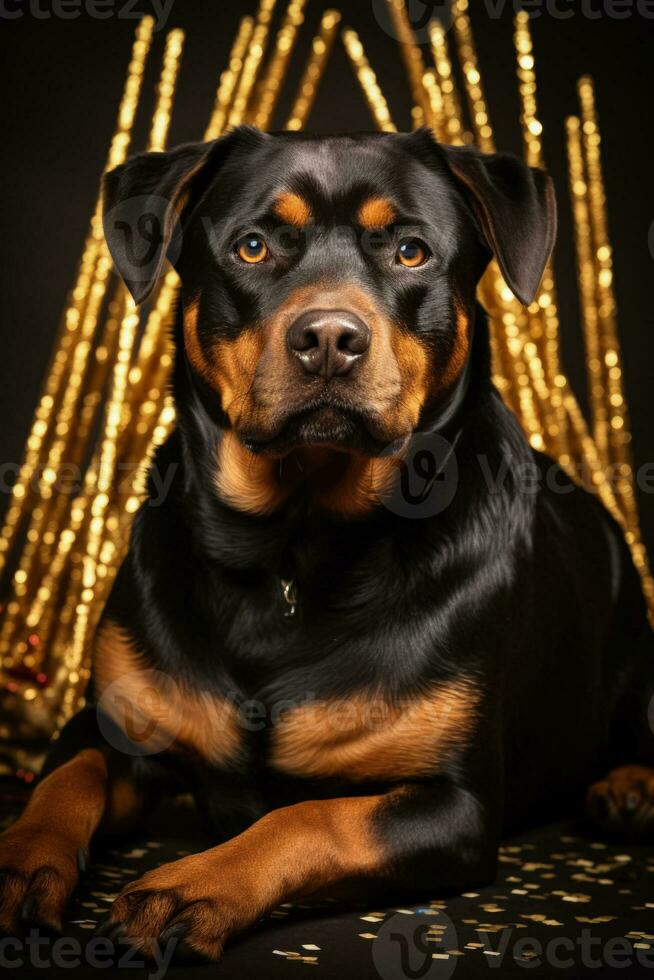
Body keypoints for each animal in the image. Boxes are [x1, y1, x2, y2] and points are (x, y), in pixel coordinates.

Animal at [1, 126, 654, 960]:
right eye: (251, 246)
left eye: (410, 251)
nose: (330, 339)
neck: (294, 544)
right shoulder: (114, 723)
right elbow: (63, 779)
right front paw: (22, 859)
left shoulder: (455, 806)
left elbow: (309, 818)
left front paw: (193, 887)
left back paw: (629, 786)